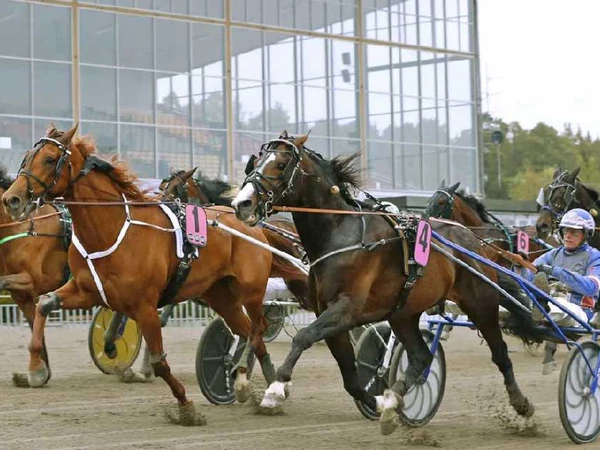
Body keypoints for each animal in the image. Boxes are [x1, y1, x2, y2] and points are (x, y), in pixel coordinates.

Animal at [3, 124, 304, 426]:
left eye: (50, 159)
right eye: (27, 157)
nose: (12, 199)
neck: (110, 231)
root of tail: (254, 225)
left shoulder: (144, 306)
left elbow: (160, 360)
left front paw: (185, 406)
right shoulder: (86, 290)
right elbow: (44, 305)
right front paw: (36, 370)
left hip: (250, 290)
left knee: (258, 328)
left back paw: (257, 381)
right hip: (219, 295)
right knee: (247, 332)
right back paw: (260, 386)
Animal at [233, 133, 536, 436]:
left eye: (281, 164)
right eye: (256, 163)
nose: (242, 204)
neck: (342, 234)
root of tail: (475, 242)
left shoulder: (346, 310)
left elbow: (303, 337)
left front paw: (275, 389)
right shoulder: (329, 314)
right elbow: (350, 377)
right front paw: (379, 402)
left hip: (480, 302)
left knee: (500, 353)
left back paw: (521, 403)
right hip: (403, 314)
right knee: (421, 357)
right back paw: (393, 403)